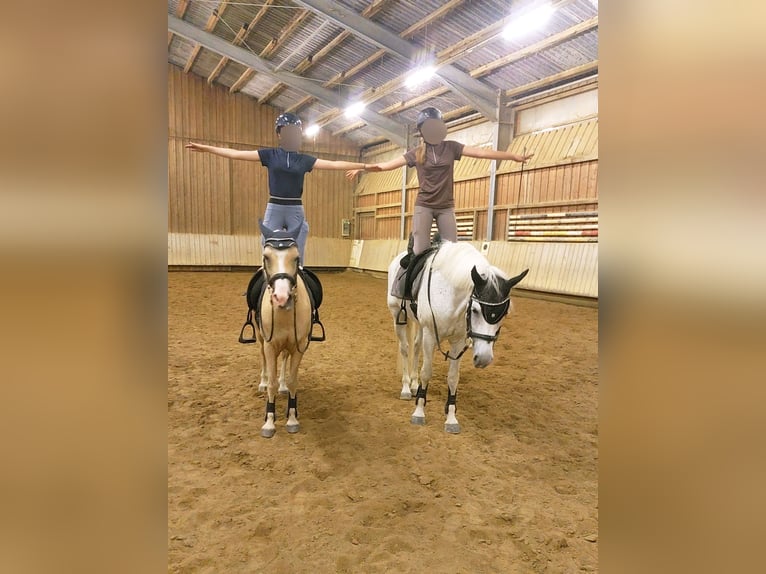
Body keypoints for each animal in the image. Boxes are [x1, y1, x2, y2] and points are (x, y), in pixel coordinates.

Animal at [240, 220, 314, 438]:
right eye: (266, 257)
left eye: (296, 257)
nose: (282, 298)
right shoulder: (270, 345)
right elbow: (271, 381)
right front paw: (269, 422)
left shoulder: (298, 346)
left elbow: (293, 381)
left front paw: (292, 418)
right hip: (261, 339)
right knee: (263, 359)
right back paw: (262, 383)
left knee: (284, 360)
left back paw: (282, 386)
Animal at [387, 241, 529, 433]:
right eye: (475, 310)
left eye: (504, 314)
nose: (484, 359)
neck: (449, 296)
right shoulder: (430, 336)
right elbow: (427, 372)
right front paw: (419, 412)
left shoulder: (458, 342)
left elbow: (453, 377)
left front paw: (451, 419)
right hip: (398, 316)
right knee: (405, 349)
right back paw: (407, 388)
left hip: (419, 324)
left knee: (415, 348)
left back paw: (415, 385)